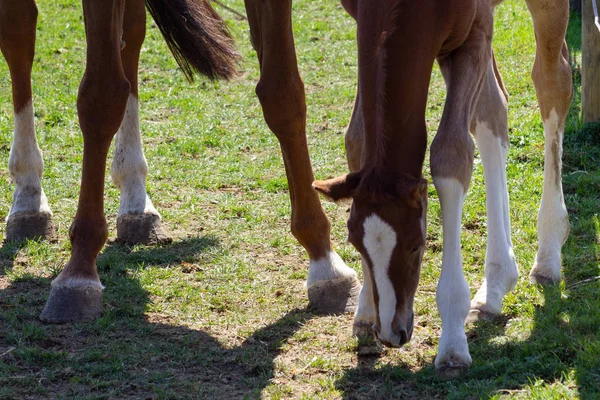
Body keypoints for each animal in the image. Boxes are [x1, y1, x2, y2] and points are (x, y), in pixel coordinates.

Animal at [314, 0, 572, 376]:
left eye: (417, 246)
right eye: (356, 245)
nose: (392, 332)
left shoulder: (474, 32)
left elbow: (450, 155)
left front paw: (452, 344)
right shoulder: (362, 23)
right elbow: (357, 137)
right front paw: (364, 311)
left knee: (553, 83)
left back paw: (548, 258)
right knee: (493, 109)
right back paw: (494, 287)